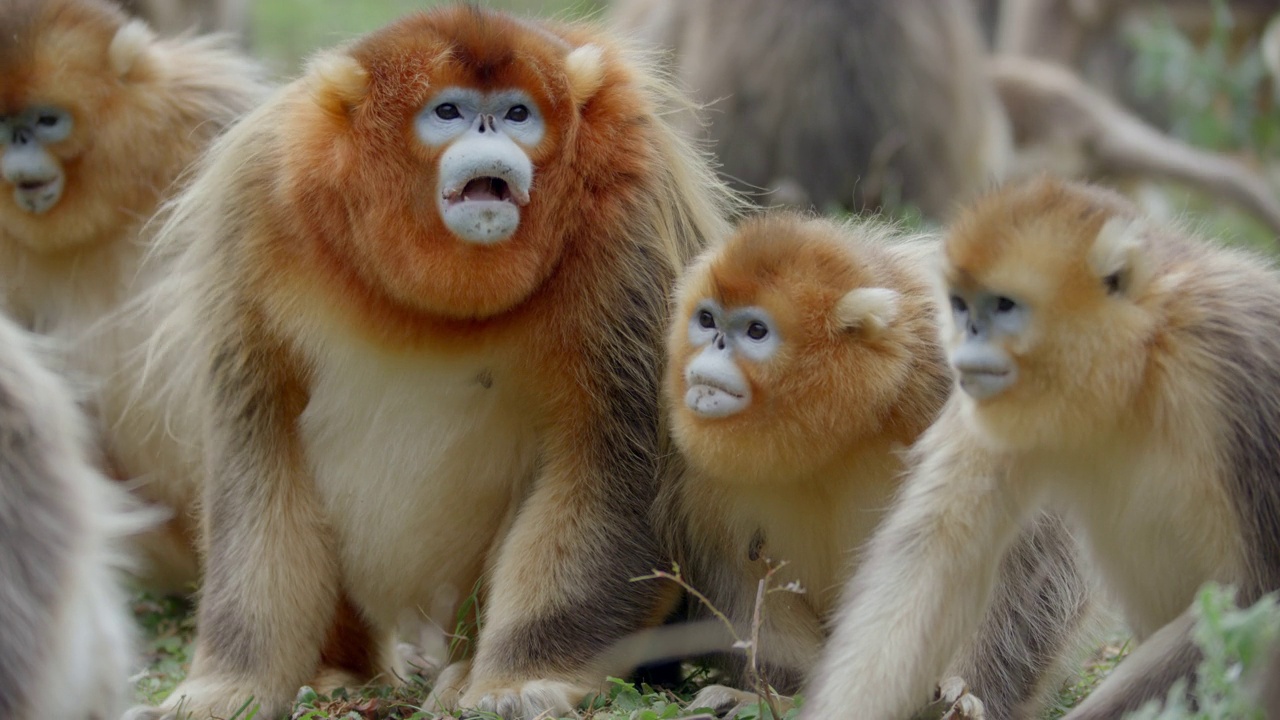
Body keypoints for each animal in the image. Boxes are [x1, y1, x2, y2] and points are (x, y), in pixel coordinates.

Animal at [665, 212, 1095, 717]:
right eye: (706, 319)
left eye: (755, 331)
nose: (712, 346)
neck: (842, 425)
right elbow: (736, 572)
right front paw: (795, 700)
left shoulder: (955, 378)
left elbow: (1026, 558)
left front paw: (967, 694)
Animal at [803, 175, 1280, 717]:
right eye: (961, 306)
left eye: (1003, 306)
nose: (967, 338)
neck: (1133, 369)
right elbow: (931, 557)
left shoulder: (1226, 360)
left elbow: (1254, 597)